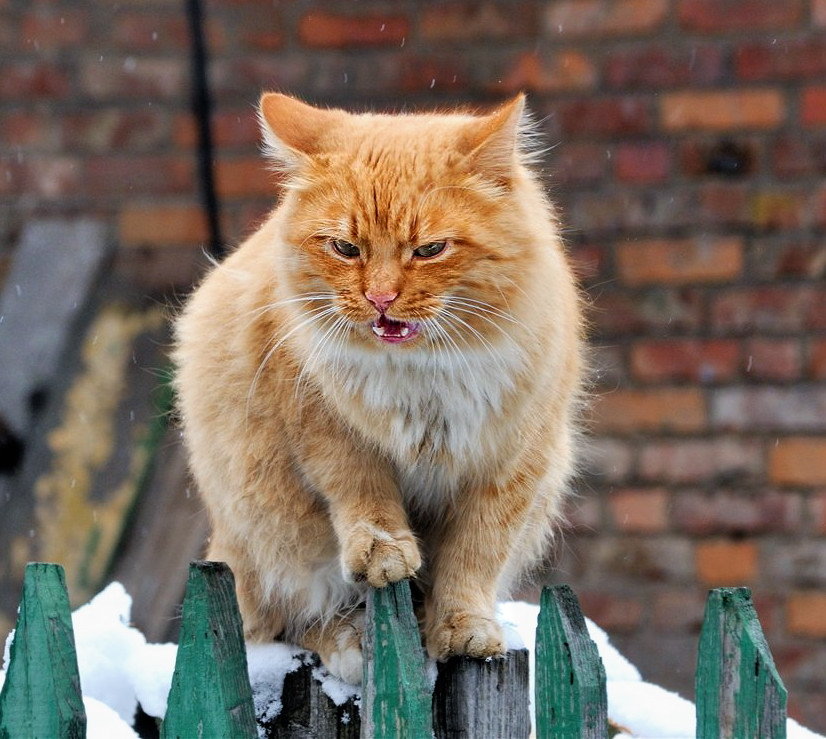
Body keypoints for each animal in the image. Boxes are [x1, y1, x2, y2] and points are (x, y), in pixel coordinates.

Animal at [173, 92, 584, 688]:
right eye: (346, 248)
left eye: (430, 249)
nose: (380, 298)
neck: (421, 374)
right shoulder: (326, 429)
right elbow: (364, 498)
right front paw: (384, 555)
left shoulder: (513, 464)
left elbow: (474, 556)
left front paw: (463, 628)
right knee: (288, 622)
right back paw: (349, 640)